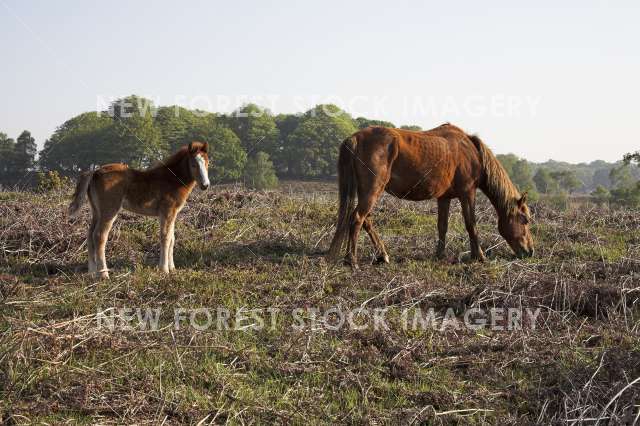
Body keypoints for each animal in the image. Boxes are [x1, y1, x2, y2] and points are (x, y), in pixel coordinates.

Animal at [68, 142, 210, 279]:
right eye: (193, 165)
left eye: (207, 163)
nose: (205, 185)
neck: (172, 179)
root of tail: (95, 171)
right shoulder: (167, 211)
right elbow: (165, 237)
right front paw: (164, 270)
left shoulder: (173, 214)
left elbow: (172, 238)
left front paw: (172, 268)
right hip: (109, 210)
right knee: (99, 236)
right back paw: (103, 274)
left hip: (97, 211)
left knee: (90, 235)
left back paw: (92, 272)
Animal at [328, 124, 534, 268]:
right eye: (524, 219)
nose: (530, 251)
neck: (472, 152)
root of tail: (354, 137)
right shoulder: (467, 193)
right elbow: (471, 224)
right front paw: (479, 256)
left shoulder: (444, 197)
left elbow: (442, 226)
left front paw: (439, 255)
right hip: (372, 190)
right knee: (357, 218)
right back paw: (352, 261)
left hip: (366, 192)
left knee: (366, 220)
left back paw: (382, 255)